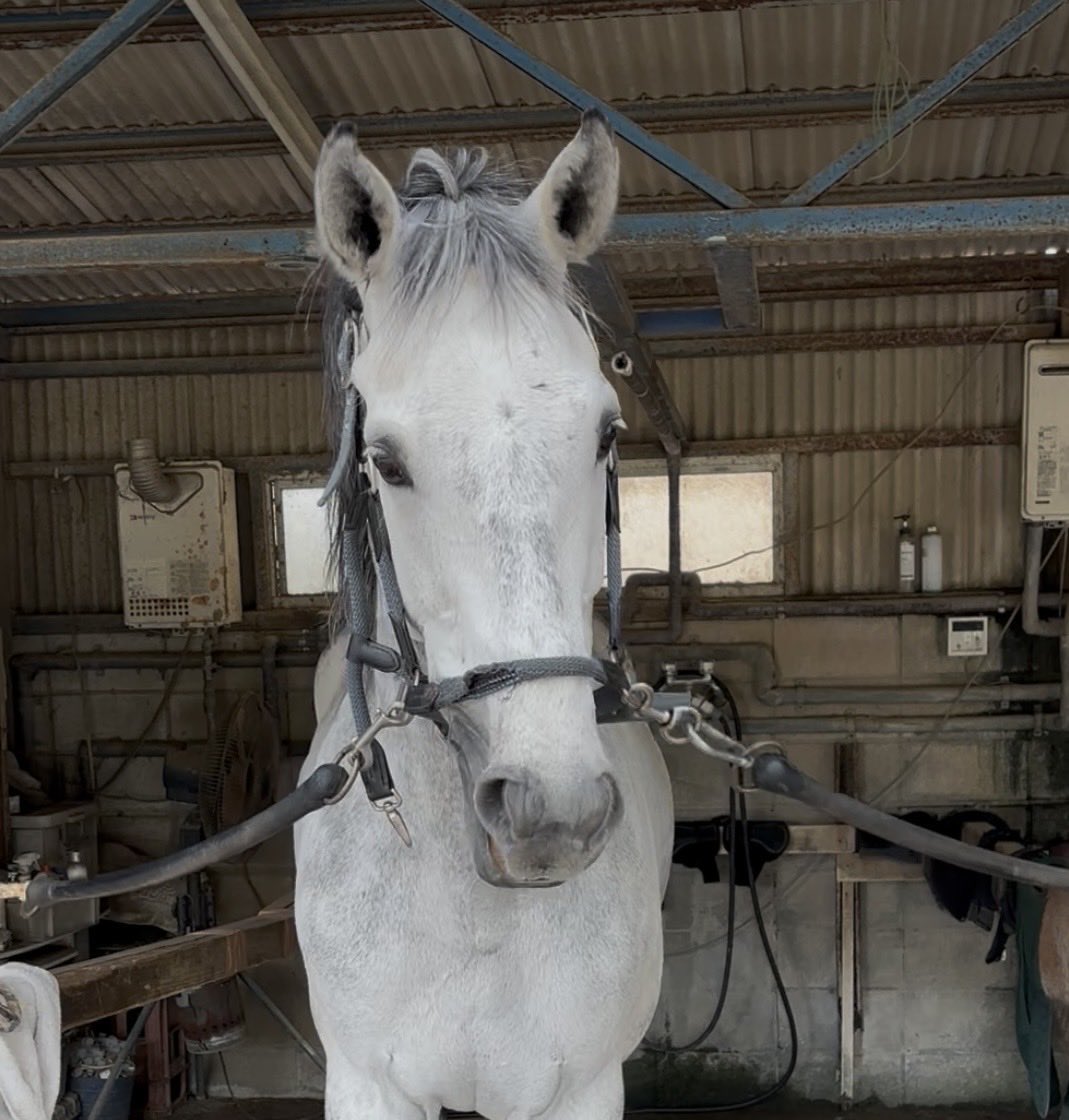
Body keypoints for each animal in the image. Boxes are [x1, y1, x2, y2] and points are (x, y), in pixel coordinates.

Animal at [293, 111, 675, 1120]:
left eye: (606, 434)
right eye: (385, 460)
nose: (550, 809)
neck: (477, 915)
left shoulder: (580, 1090)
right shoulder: (366, 1086)